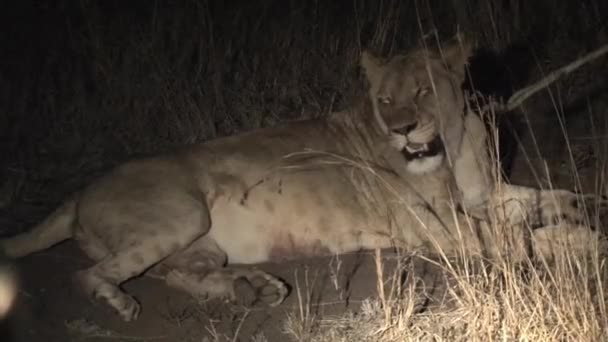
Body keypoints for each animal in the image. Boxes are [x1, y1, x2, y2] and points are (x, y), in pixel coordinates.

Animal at [0, 39, 604, 320]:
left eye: (423, 90)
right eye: (385, 100)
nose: (401, 130)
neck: (450, 148)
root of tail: (78, 193)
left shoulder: (483, 197)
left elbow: (539, 199)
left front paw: (583, 204)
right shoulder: (439, 232)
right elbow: (521, 238)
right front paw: (585, 240)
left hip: (200, 242)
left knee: (179, 273)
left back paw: (252, 287)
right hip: (182, 215)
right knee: (91, 274)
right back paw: (125, 303)